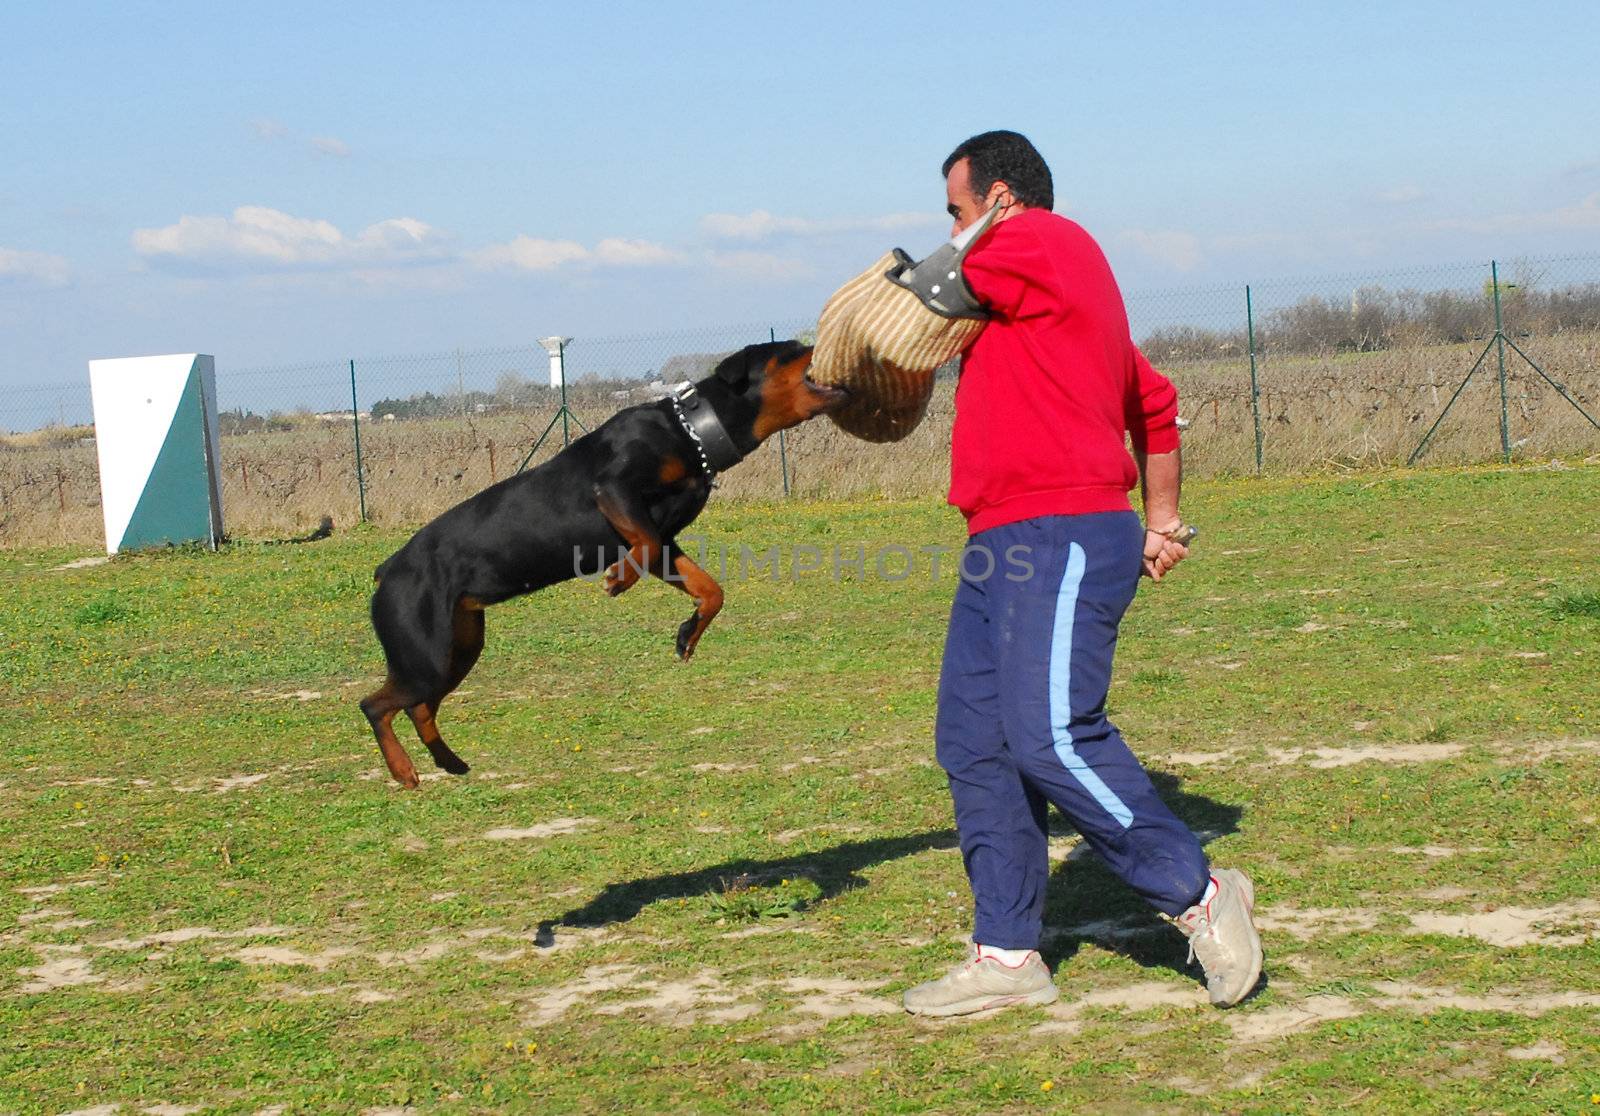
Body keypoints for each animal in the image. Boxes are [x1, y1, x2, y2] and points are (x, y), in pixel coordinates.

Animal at [356, 338, 844, 783]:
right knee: (375, 705)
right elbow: (643, 544)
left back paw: (448, 761)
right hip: (427, 655)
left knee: (419, 707)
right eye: (793, 349)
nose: (824, 336)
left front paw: (688, 632)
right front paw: (620, 579)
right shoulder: (614, 489)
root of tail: (387, 571)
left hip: (459, 647)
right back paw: (402, 769)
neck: (692, 432)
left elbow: (709, 588)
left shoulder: (667, 540)